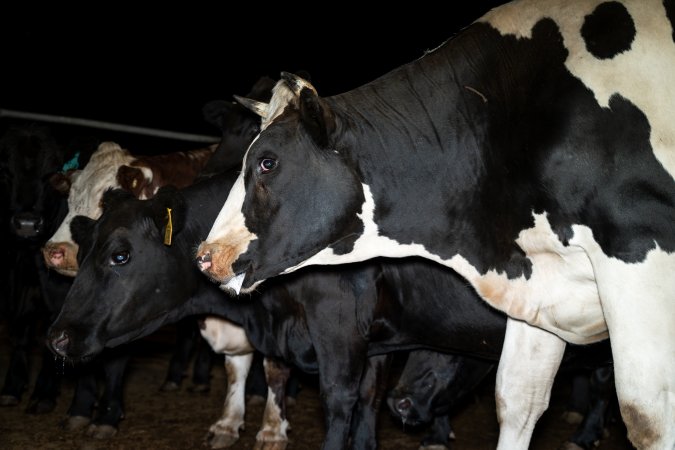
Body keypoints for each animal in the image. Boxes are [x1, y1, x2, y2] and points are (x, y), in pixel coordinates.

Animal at [195, 1, 675, 448]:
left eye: (267, 162)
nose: (204, 255)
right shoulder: (540, 280)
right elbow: (517, 400)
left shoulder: (640, 259)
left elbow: (647, 419)